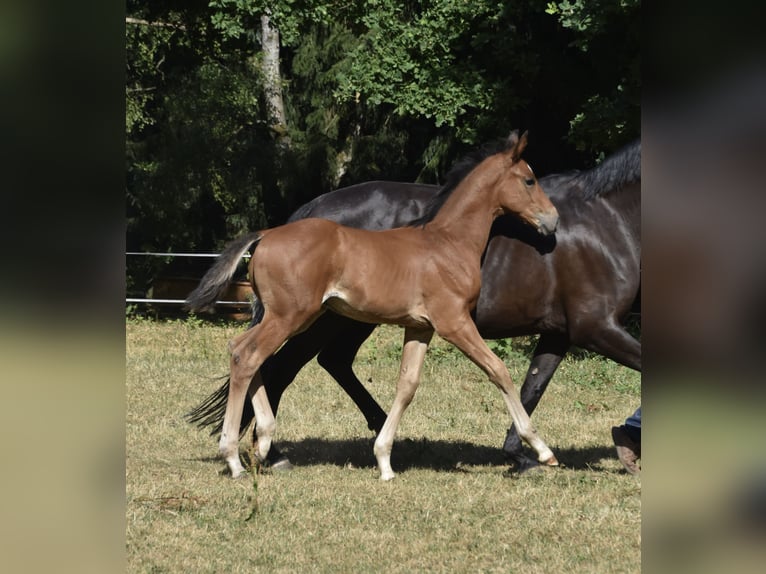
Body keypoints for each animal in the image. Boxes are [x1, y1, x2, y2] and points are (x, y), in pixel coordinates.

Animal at [188, 138, 641, 473]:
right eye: (530, 180)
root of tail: (272, 230)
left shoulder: (430, 326)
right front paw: (543, 451)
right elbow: (500, 371)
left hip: (325, 319)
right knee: (260, 360)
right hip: (303, 318)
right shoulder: (466, 322)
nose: (551, 221)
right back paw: (249, 455)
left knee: (271, 358)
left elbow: (413, 384)